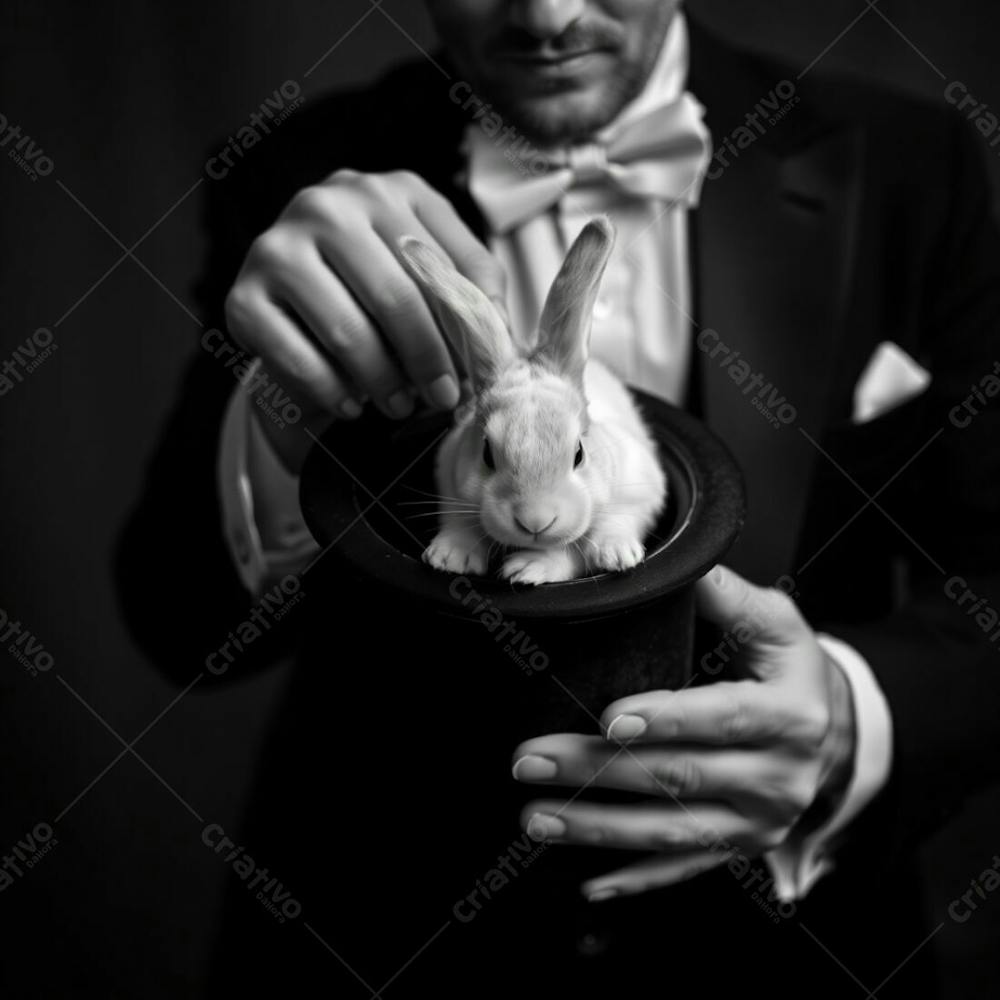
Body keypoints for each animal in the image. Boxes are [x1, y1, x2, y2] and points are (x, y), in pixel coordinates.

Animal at [396, 215, 664, 584]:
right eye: (487, 454)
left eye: (579, 454)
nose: (535, 521)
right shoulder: (450, 480)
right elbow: (459, 520)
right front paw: (450, 558)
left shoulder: (642, 487)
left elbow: (588, 541)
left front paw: (541, 566)